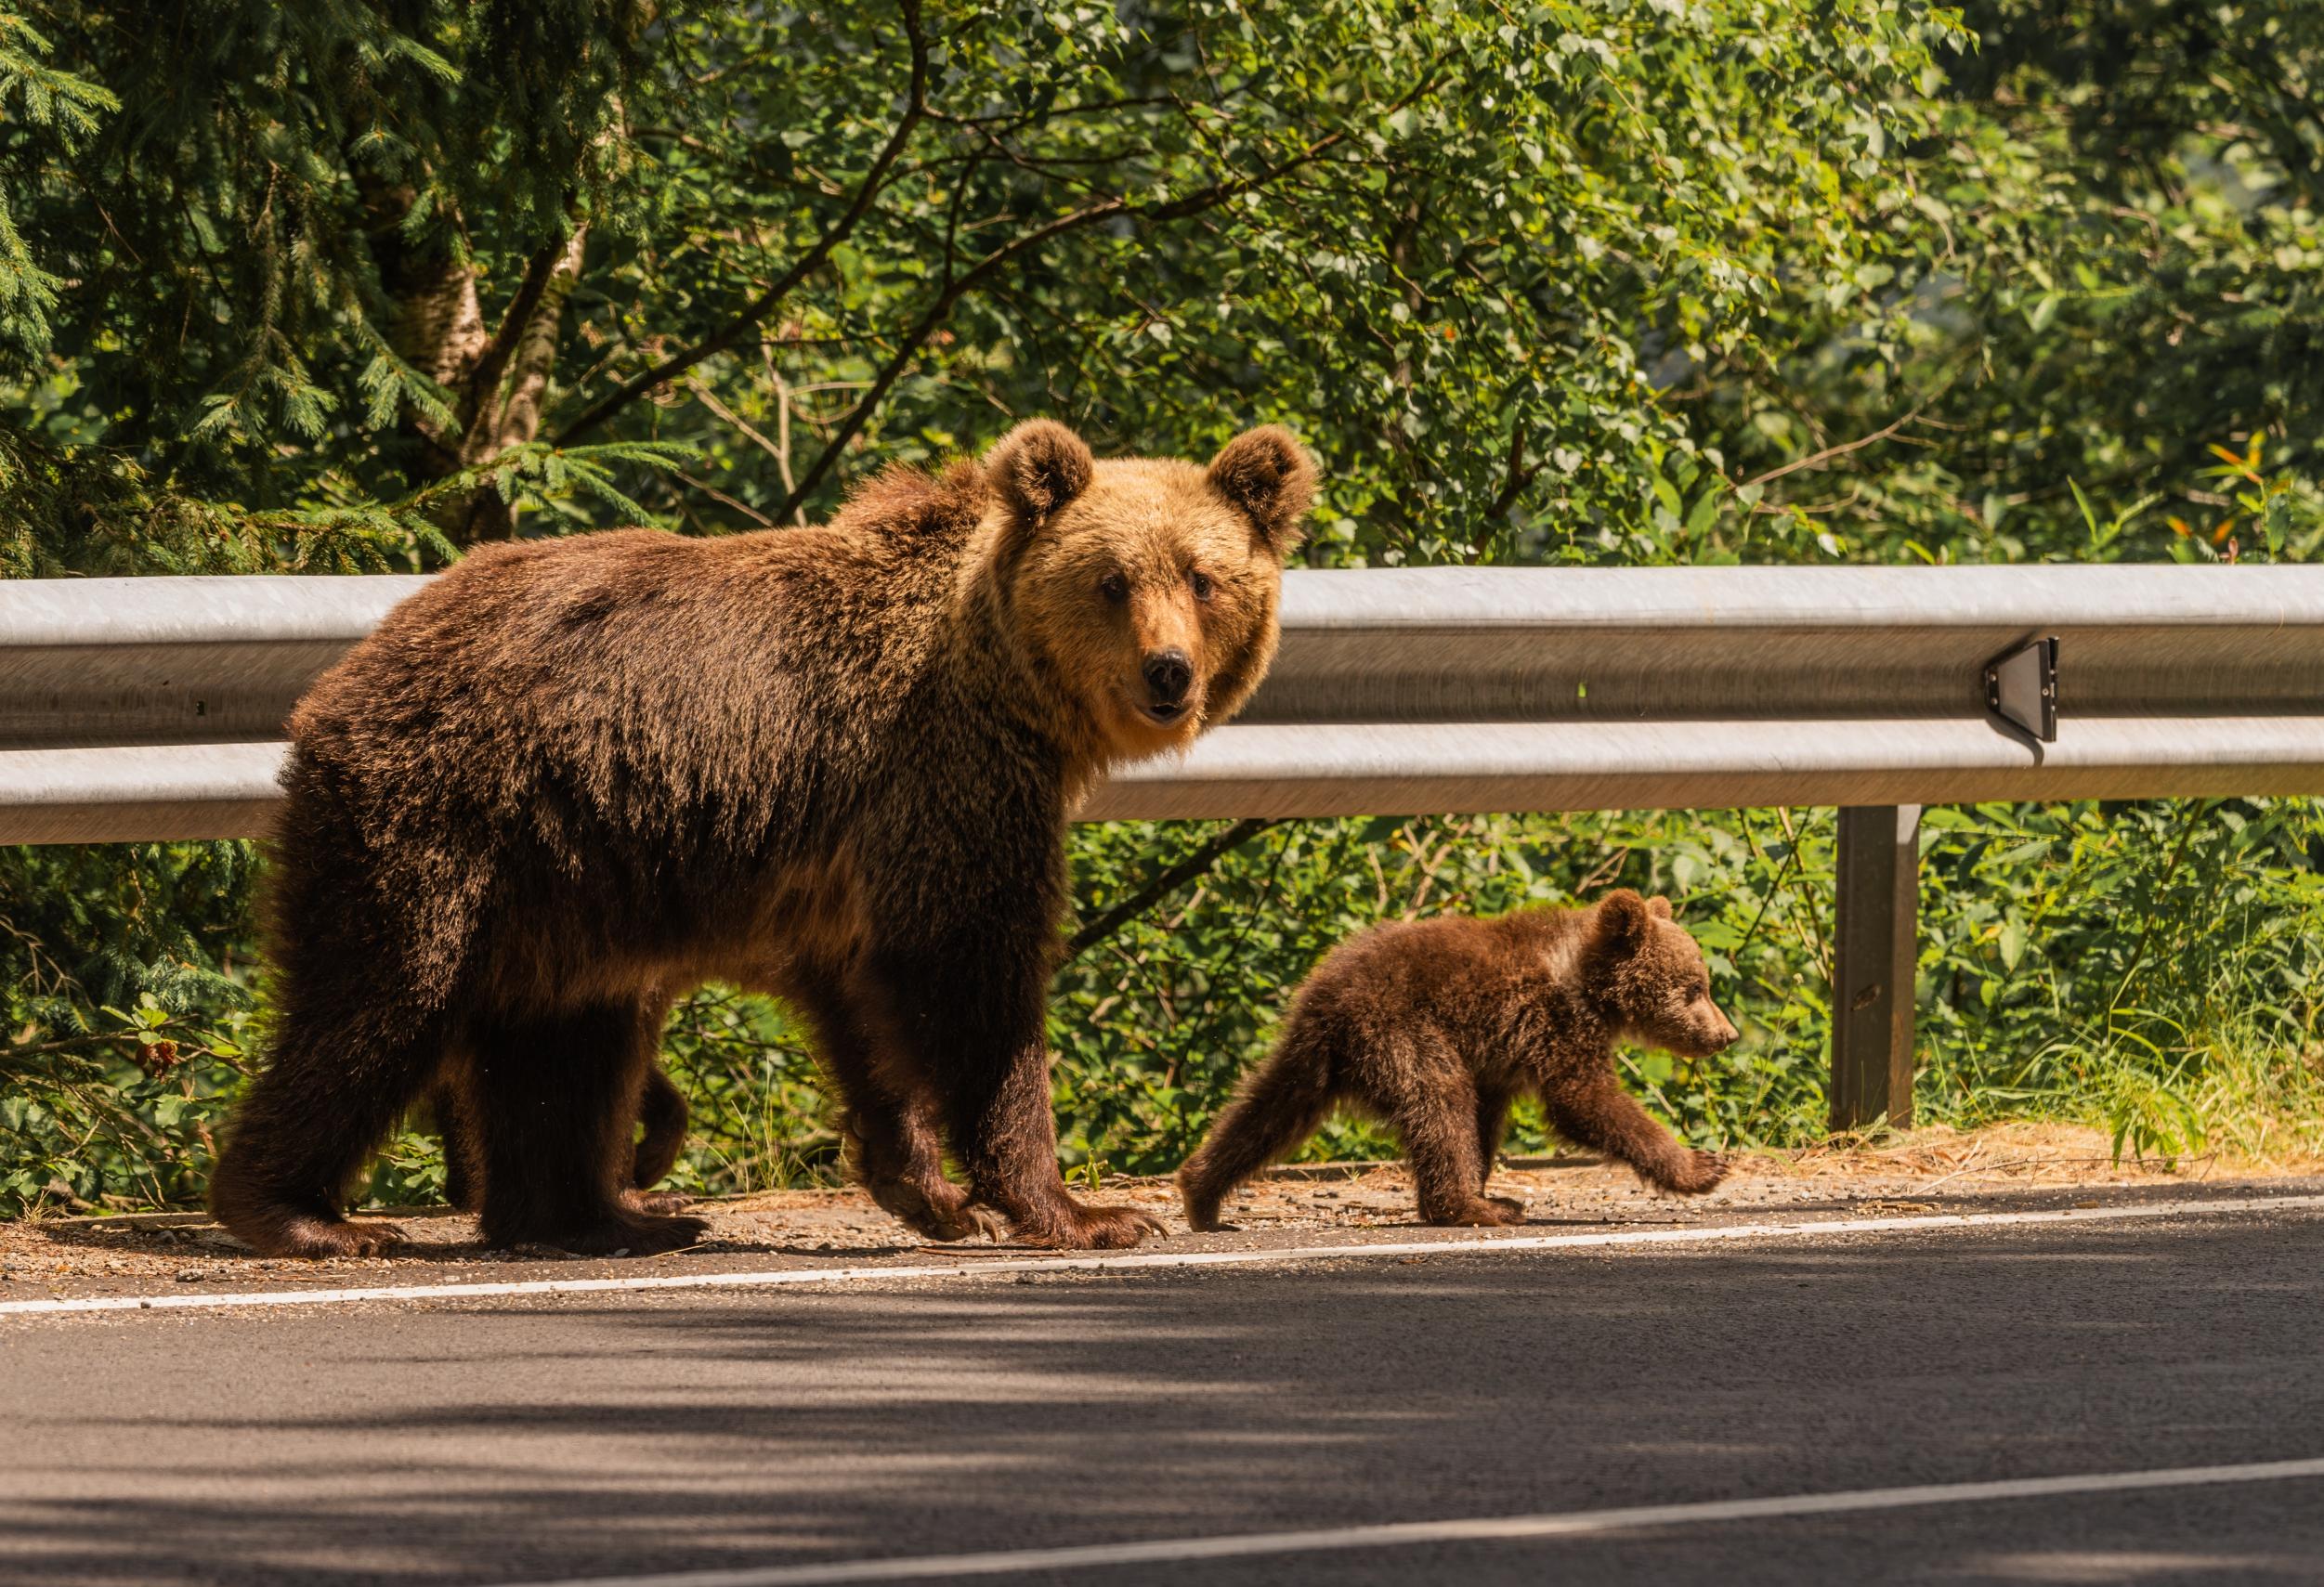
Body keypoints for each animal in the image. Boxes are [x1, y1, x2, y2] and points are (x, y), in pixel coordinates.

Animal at [204, 424, 1311, 1264]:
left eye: (1204, 578)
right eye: (1113, 580)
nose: (1168, 672)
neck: (1008, 684)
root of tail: (352, 666)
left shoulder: (854, 853)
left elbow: (863, 1004)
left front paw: (927, 1190)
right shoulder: (949, 780)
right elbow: (974, 978)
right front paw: (1081, 1209)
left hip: (564, 872)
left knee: (568, 1037)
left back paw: (607, 1216)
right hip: (441, 820)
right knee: (381, 997)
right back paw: (309, 1215)